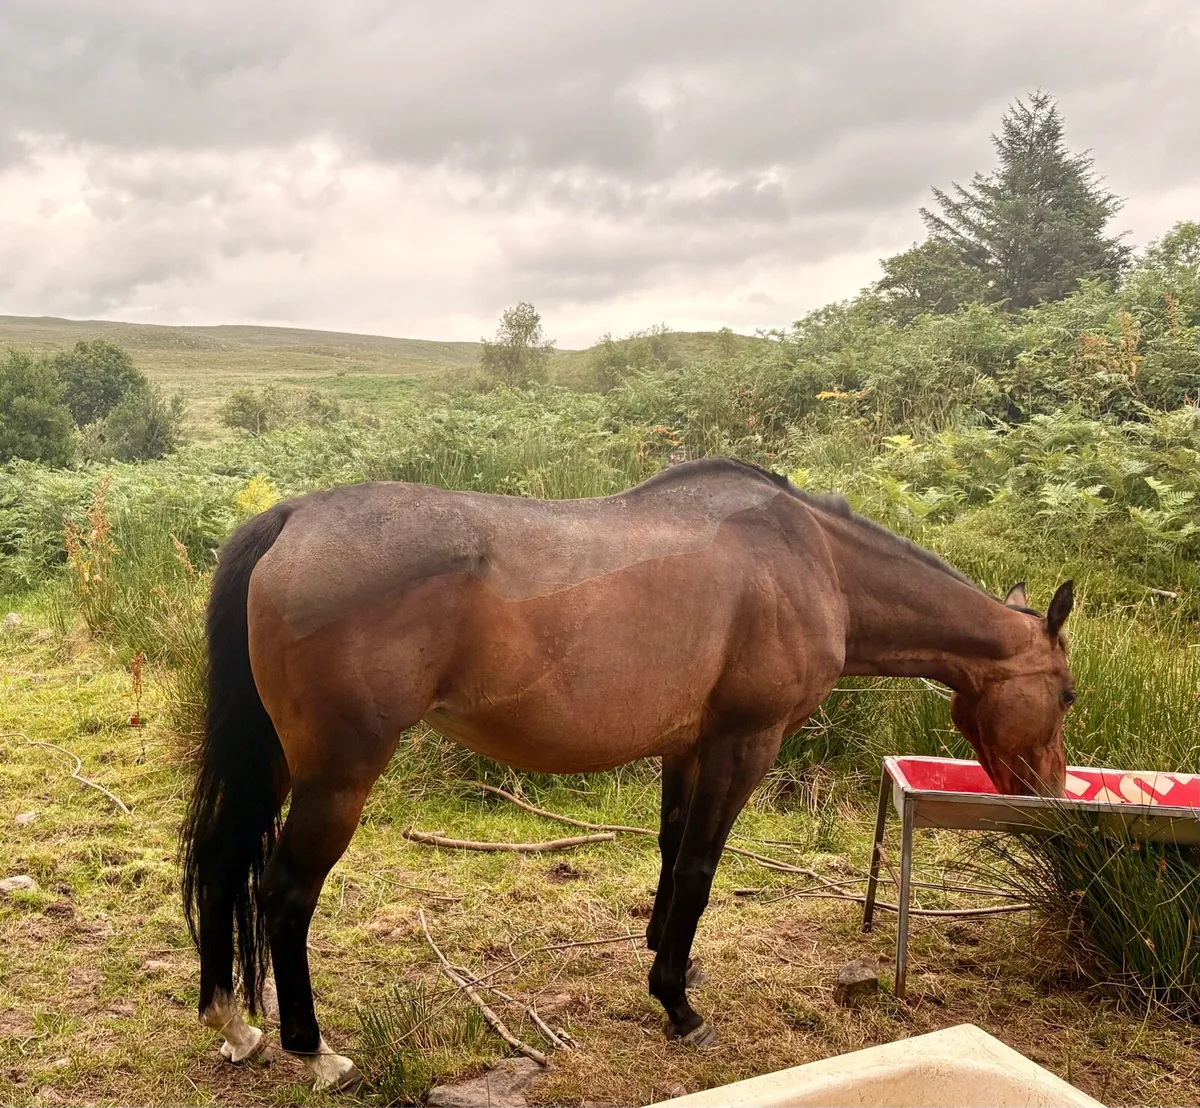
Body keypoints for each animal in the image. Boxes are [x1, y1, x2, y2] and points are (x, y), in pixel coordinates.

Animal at [180, 458, 1075, 1091]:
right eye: (1067, 692)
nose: (1051, 798)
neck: (810, 558)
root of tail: (292, 517)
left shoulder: (689, 748)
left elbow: (672, 860)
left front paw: (668, 964)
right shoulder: (743, 746)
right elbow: (701, 869)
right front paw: (679, 1006)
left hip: (277, 765)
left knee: (223, 864)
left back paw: (234, 1027)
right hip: (339, 776)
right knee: (284, 894)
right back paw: (314, 1052)